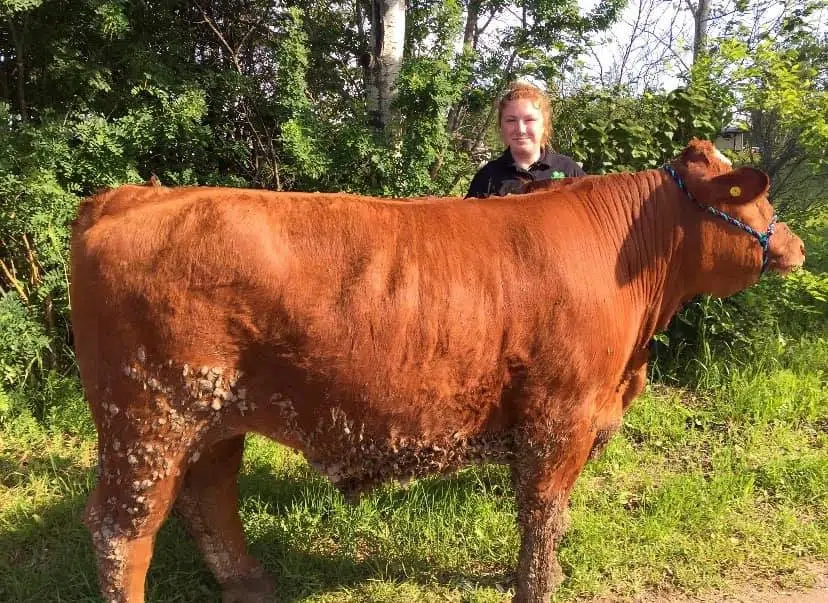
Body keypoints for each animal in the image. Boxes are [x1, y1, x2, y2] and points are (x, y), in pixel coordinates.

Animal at [71, 139, 804, 600]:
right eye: (751, 200)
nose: (795, 244)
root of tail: (130, 195)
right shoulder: (559, 416)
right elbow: (543, 513)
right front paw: (538, 586)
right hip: (147, 418)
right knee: (121, 530)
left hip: (215, 418)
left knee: (209, 497)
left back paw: (252, 585)